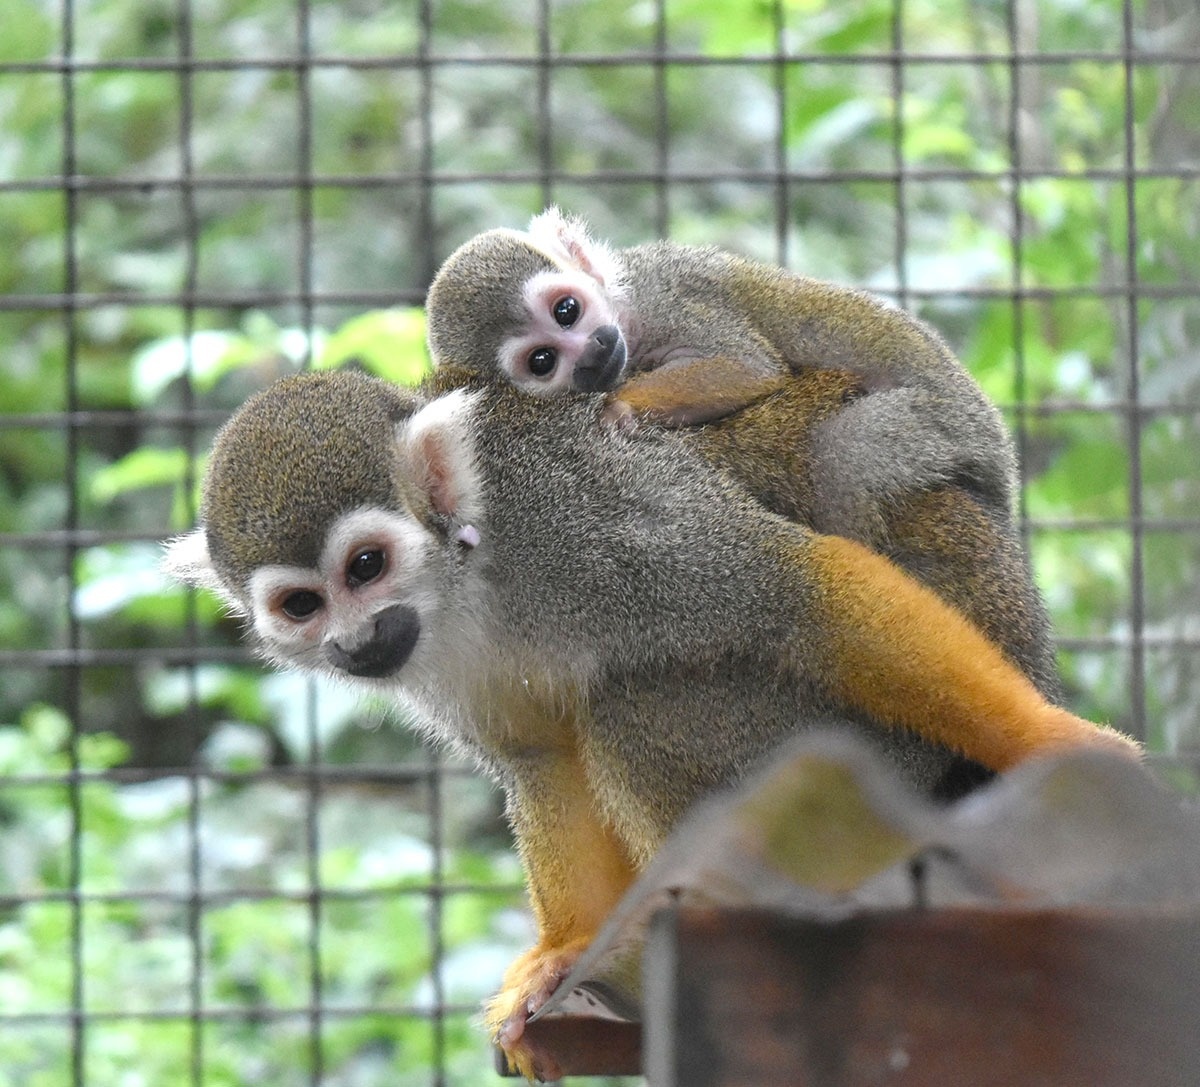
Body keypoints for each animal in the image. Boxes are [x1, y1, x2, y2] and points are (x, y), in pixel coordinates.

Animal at [166, 369, 1132, 1075]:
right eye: (300, 604)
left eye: (365, 566)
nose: (357, 640)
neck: (465, 578)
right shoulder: (434, 662)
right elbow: (540, 755)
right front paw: (564, 949)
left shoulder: (581, 517)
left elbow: (793, 592)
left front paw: (1055, 740)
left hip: (868, 761)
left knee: (635, 701)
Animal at [427, 207, 1065, 700]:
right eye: (542, 362)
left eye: (567, 311)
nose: (593, 355)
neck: (625, 312)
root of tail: (998, 456)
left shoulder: (667, 293)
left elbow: (746, 367)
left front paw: (619, 408)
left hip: (943, 422)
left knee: (849, 451)